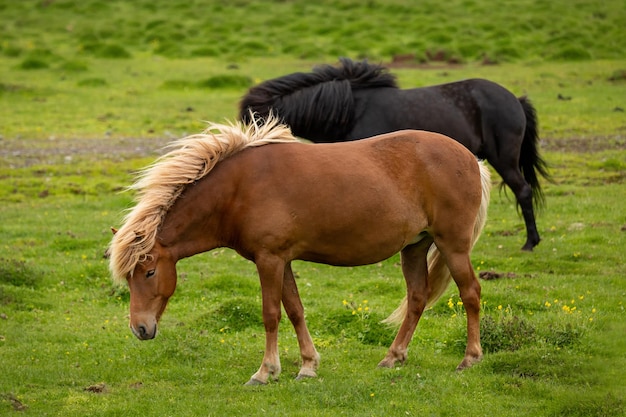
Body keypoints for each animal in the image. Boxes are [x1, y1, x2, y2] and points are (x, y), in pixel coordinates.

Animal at [107, 116, 490, 384]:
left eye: (150, 272)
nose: (140, 329)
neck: (237, 189)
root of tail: (471, 159)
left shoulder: (269, 260)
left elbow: (270, 314)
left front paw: (265, 371)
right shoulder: (283, 261)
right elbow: (294, 310)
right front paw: (308, 366)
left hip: (452, 246)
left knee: (470, 293)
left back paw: (470, 359)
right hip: (414, 247)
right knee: (416, 299)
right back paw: (393, 356)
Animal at [239, 56, 544, 249]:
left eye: (258, 122)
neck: (350, 110)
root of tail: (514, 99)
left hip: (504, 159)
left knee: (523, 190)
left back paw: (530, 243)